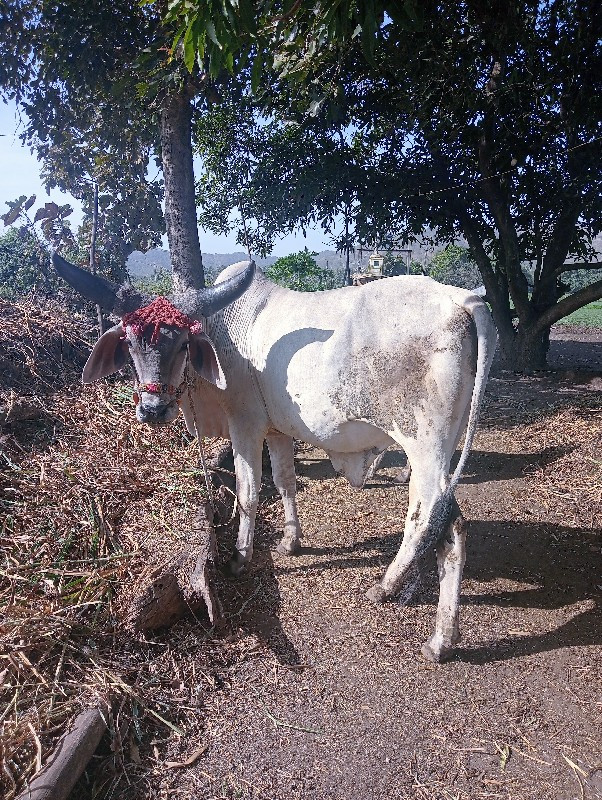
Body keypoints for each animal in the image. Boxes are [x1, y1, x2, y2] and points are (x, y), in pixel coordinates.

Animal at [52, 256, 492, 664]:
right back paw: (424, 614)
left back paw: (419, 618)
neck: (219, 331)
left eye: (182, 345)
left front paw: (239, 557)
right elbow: (284, 483)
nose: (153, 409)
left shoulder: (245, 425)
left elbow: (248, 493)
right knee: (445, 523)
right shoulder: (278, 431)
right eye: (129, 344)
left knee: (436, 522)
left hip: (425, 448)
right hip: (443, 449)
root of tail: (460, 298)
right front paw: (290, 541)